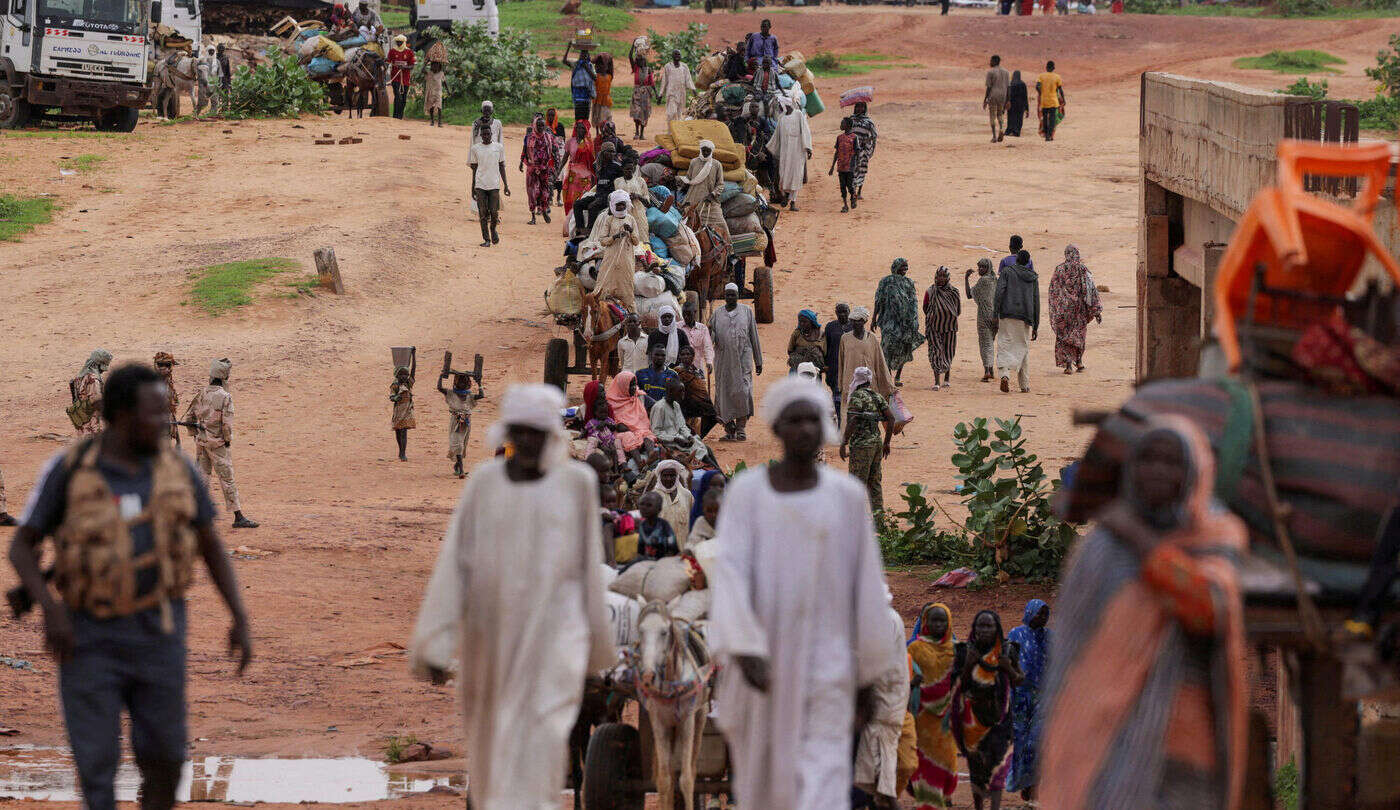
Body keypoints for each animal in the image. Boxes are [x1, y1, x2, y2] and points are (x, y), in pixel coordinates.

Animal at [641, 601, 716, 810]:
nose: (648, 676)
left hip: (700, 717)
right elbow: (664, 780)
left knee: (691, 768)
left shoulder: (687, 723)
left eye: (664, 632)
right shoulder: (659, 724)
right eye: (640, 631)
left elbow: (687, 779)